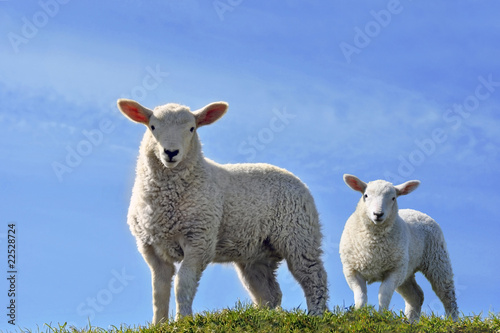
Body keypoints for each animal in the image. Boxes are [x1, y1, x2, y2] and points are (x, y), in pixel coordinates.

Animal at [116, 98, 328, 322]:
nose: (171, 153)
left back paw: (316, 315)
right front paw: (160, 324)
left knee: (314, 276)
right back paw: (265, 316)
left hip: (299, 236)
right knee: (269, 292)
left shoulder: (199, 240)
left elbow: (183, 284)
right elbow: (159, 292)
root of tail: (294, 178)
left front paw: (183, 321)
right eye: (152, 127)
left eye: (191, 128)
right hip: (257, 253)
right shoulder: (152, 249)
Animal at [340, 174, 458, 322]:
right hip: (407, 270)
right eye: (366, 195)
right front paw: (359, 314)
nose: (378, 214)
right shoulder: (352, 270)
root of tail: (415, 211)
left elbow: (383, 294)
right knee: (416, 296)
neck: (373, 245)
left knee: (447, 294)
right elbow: (360, 295)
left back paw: (452, 320)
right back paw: (411, 321)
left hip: (437, 260)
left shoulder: (394, 271)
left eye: (393, 198)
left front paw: (381, 316)